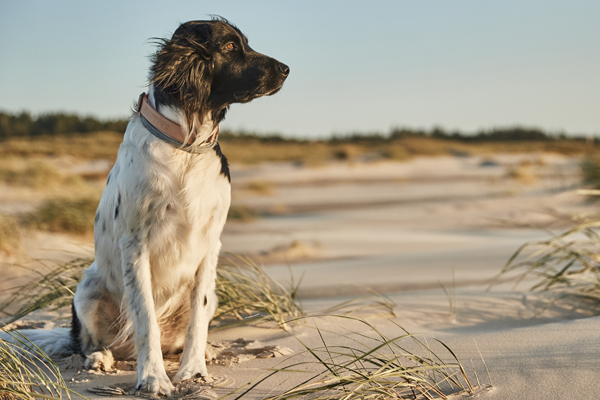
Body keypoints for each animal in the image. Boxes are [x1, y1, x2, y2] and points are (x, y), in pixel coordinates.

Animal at [4, 18, 288, 394]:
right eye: (229, 46)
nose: (285, 69)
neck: (185, 147)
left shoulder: (210, 243)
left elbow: (197, 320)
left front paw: (193, 372)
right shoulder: (136, 245)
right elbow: (145, 320)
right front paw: (153, 377)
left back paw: (204, 352)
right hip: (88, 289)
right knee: (88, 343)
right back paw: (100, 358)